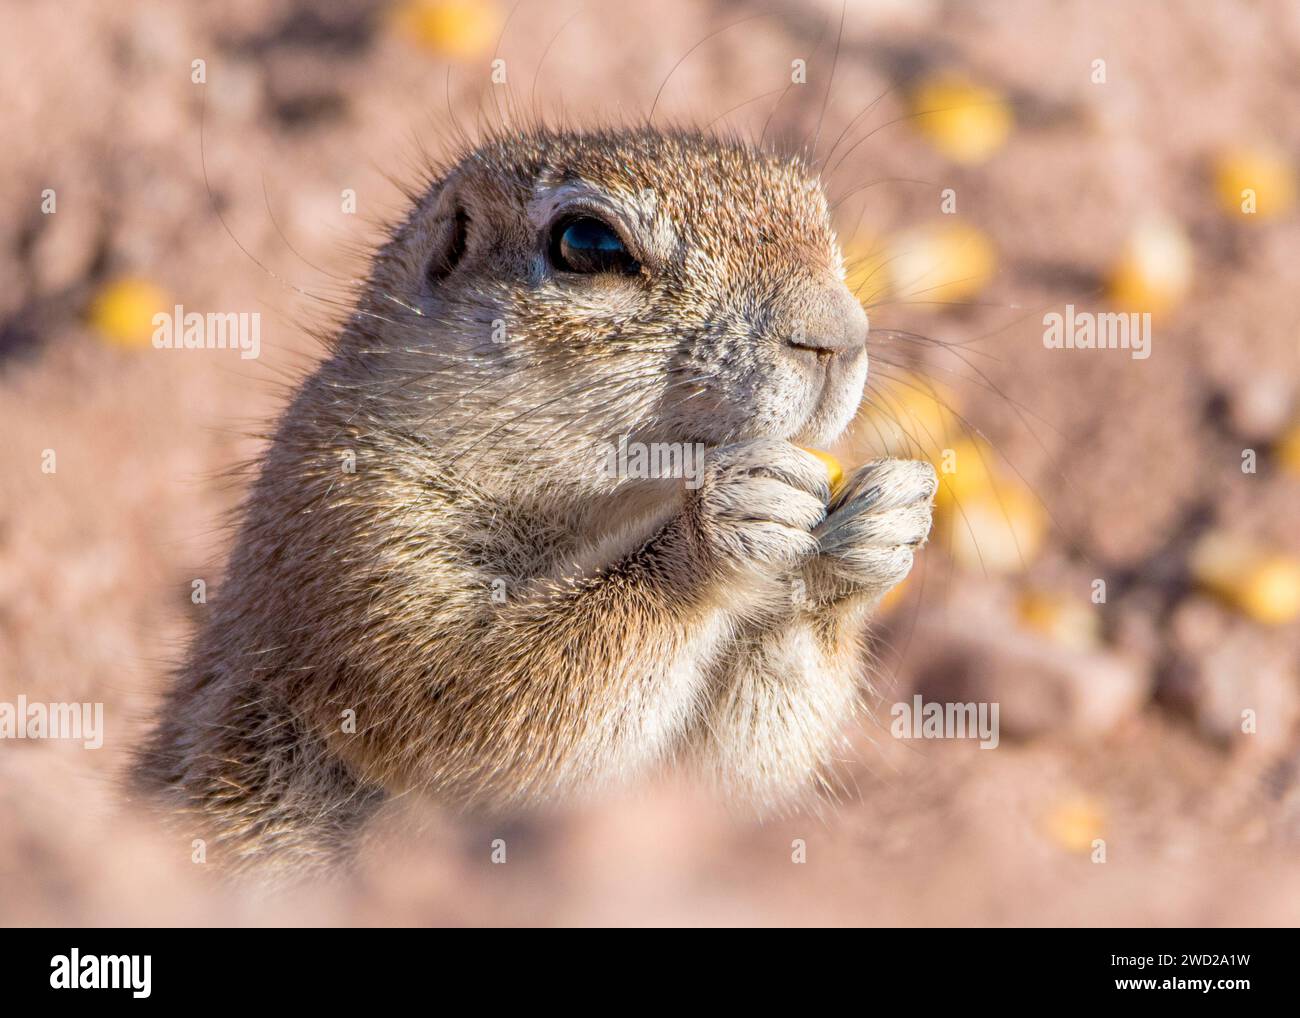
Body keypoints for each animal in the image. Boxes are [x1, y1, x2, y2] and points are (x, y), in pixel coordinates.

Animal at [134, 125, 935, 873]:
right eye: (588, 242)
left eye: (820, 214)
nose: (838, 336)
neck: (605, 510)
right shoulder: (350, 527)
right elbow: (477, 700)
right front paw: (717, 528)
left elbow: (720, 784)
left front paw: (878, 526)